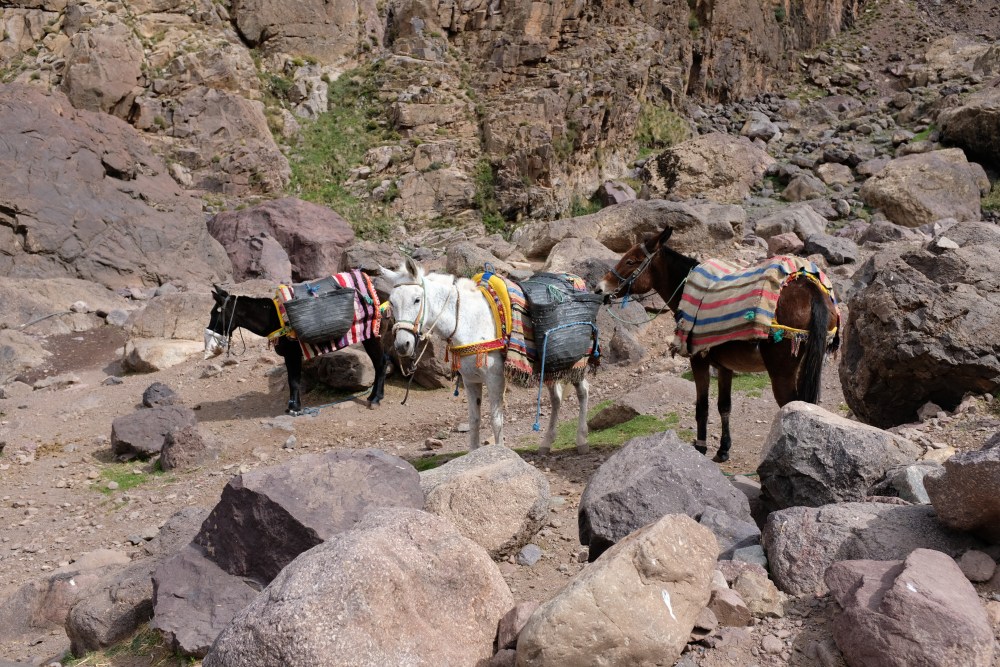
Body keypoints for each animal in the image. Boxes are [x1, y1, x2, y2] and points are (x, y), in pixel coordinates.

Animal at [204, 279, 387, 415]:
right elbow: (292, 379)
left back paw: (375, 399)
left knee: (381, 363)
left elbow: (294, 381)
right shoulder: (289, 354)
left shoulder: (293, 353)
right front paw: (292, 407)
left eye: (215, 313)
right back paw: (374, 397)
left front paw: (295, 409)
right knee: (380, 362)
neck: (274, 318)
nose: (209, 337)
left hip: (371, 335)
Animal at [381, 258, 591, 454]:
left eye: (417, 299)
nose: (402, 345)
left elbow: (496, 420)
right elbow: (474, 420)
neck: (469, 322)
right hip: (550, 367)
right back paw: (546, 444)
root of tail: (577, 280)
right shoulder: (470, 381)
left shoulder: (494, 379)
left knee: (583, 391)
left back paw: (581, 441)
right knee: (556, 398)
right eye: (392, 303)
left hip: (577, 363)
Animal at [596, 227, 839, 463]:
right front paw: (723, 450)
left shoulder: (699, 359)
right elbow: (724, 406)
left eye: (630, 261)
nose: (599, 288)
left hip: (782, 371)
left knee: (792, 407)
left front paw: (700, 447)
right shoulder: (724, 367)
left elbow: (702, 406)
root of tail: (810, 288)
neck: (687, 288)